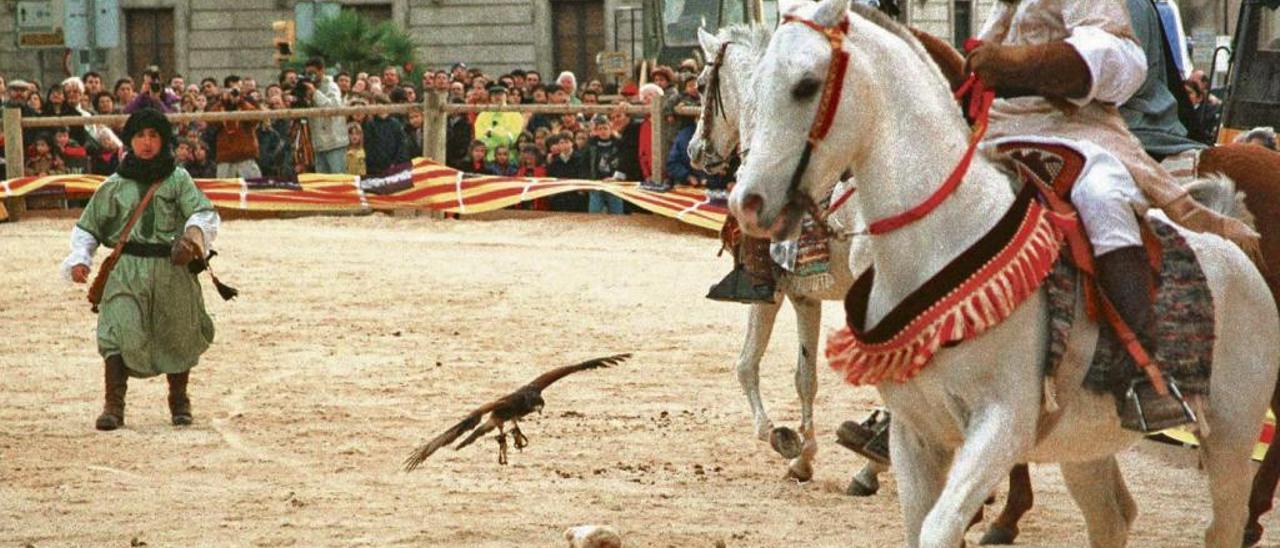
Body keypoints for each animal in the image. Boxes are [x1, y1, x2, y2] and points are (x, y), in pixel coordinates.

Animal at [691, 22, 890, 491]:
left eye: (702, 84)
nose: (693, 150)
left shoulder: (768, 289)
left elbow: (747, 364)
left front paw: (781, 439)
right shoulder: (806, 297)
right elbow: (806, 377)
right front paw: (804, 457)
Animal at [732, 2, 1280, 545]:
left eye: (806, 84)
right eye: (754, 84)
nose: (746, 202)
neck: (943, 238)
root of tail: (1234, 250)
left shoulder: (1002, 426)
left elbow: (940, 527)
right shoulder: (916, 435)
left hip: (1229, 440)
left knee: (1222, 523)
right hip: (1086, 446)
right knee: (1112, 516)